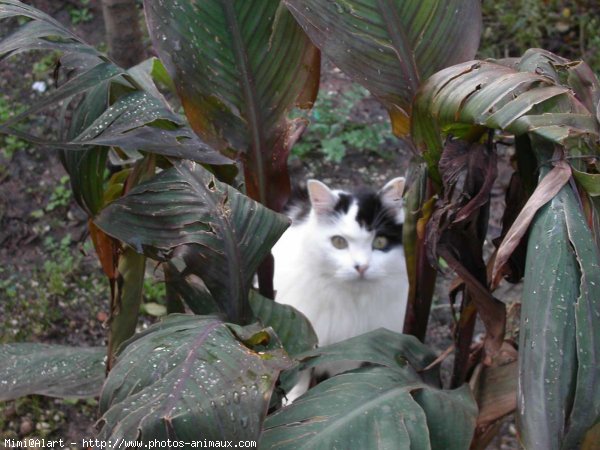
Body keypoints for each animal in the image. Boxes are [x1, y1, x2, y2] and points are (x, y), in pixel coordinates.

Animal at [274, 176, 410, 400]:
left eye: (380, 242)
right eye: (339, 242)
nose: (361, 267)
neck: (350, 301)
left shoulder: (353, 350)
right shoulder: (303, 340)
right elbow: (300, 375)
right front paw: (294, 398)